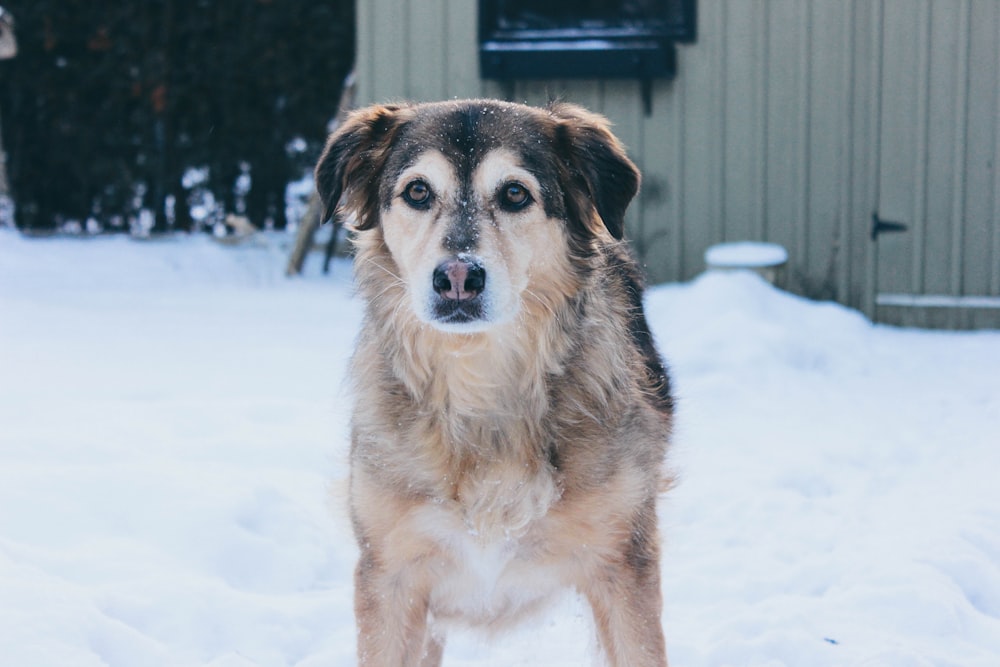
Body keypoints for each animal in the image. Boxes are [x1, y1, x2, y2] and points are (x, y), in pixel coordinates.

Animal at [314, 99, 672, 667]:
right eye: (417, 191)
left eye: (514, 194)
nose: (458, 278)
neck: (480, 382)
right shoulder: (390, 576)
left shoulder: (623, 565)